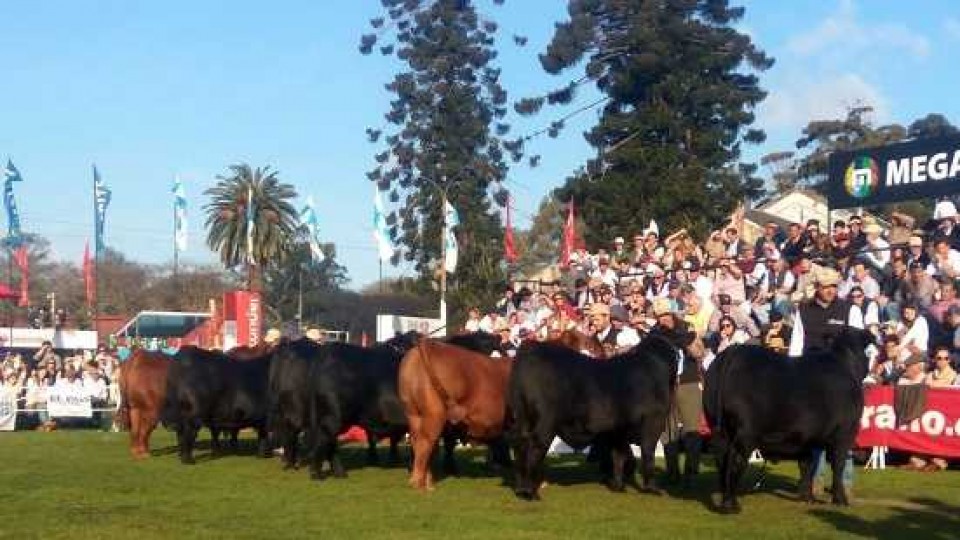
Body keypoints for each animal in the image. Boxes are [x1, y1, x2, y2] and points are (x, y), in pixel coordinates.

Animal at [400, 340, 512, 492]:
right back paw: (418, 484)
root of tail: (429, 344)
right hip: (434, 413)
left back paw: (426, 483)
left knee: (419, 442)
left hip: (413, 413)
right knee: (425, 442)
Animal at [506, 338, 680, 502]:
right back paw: (530, 493)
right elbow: (648, 453)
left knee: (520, 446)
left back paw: (521, 490)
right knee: (535, 447)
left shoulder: (618, 430)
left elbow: (619, 455)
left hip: (522, 420)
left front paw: (618, 486)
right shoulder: (654, 422)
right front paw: (652, 489)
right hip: (545, 423)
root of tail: (532, 348)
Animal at [700, 326, 872, 512]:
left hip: (718, 428)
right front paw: (840, 500)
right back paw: (731, 505)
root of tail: (735, 350)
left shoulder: (807, 438)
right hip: (745, 433)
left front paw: (807, 497)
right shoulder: (844, 433)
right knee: (735, 460)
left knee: (721, 459)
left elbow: (806, 465)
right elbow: (837, 466)